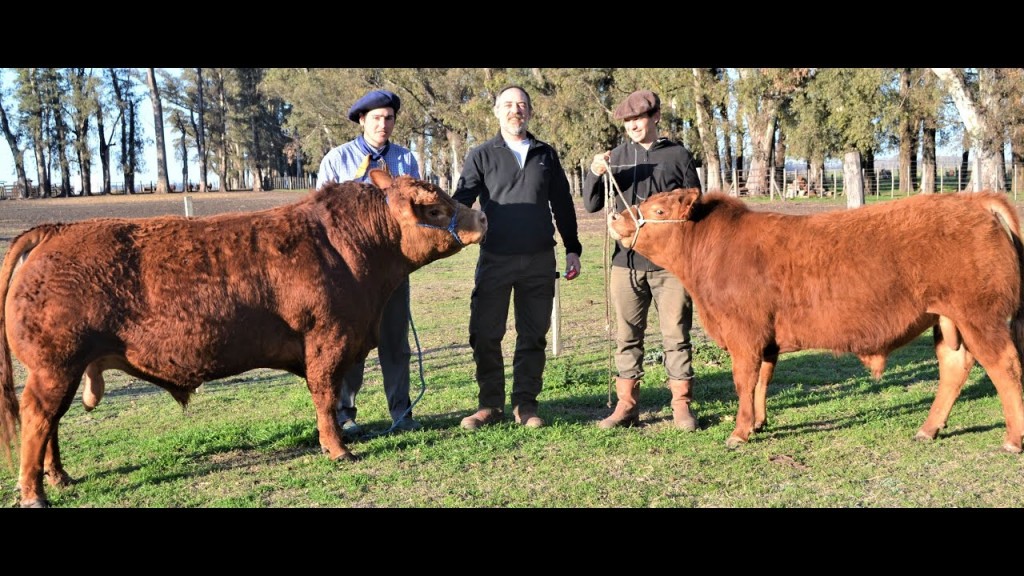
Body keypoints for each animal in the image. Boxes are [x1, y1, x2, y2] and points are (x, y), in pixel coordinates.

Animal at [0, 168, 487, 504]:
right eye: (435, 209)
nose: (481, 216)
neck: (354, 249)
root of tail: (56, 231)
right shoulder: (327, 341)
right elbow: (325, 396)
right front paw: (337, 449)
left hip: (64, 368)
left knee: (51, 423)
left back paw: (60, 478)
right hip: (54, 365)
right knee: (38, 418)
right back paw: (34, 493)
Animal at [606, 188, 1024, 453]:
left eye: (659, 211)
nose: (615, 215)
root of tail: (974, 199)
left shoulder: (744, 335)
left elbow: (744, 382)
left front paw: (740, 432)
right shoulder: (767, 339)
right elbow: (762, 381)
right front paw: (758, 423)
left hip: (980, 317)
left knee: (1005, 368)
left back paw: (1012, 440)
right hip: (947, 320)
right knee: (954, 366)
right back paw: (927, 430)